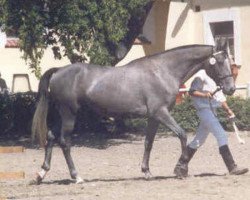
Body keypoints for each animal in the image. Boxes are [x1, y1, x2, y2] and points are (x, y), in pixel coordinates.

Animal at [31, 44, 236, 184]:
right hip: (69, 114)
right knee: (64, 142)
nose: (231, 88)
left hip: (62, 115)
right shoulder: (161, 113)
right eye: (219, 61)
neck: (162, 71)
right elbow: (182, 134)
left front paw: (147, 172)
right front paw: (181, 169)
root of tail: (58, 70)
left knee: (51, 137)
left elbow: (148, 143)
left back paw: (41, 173)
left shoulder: (154, 117)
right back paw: (77, 176)